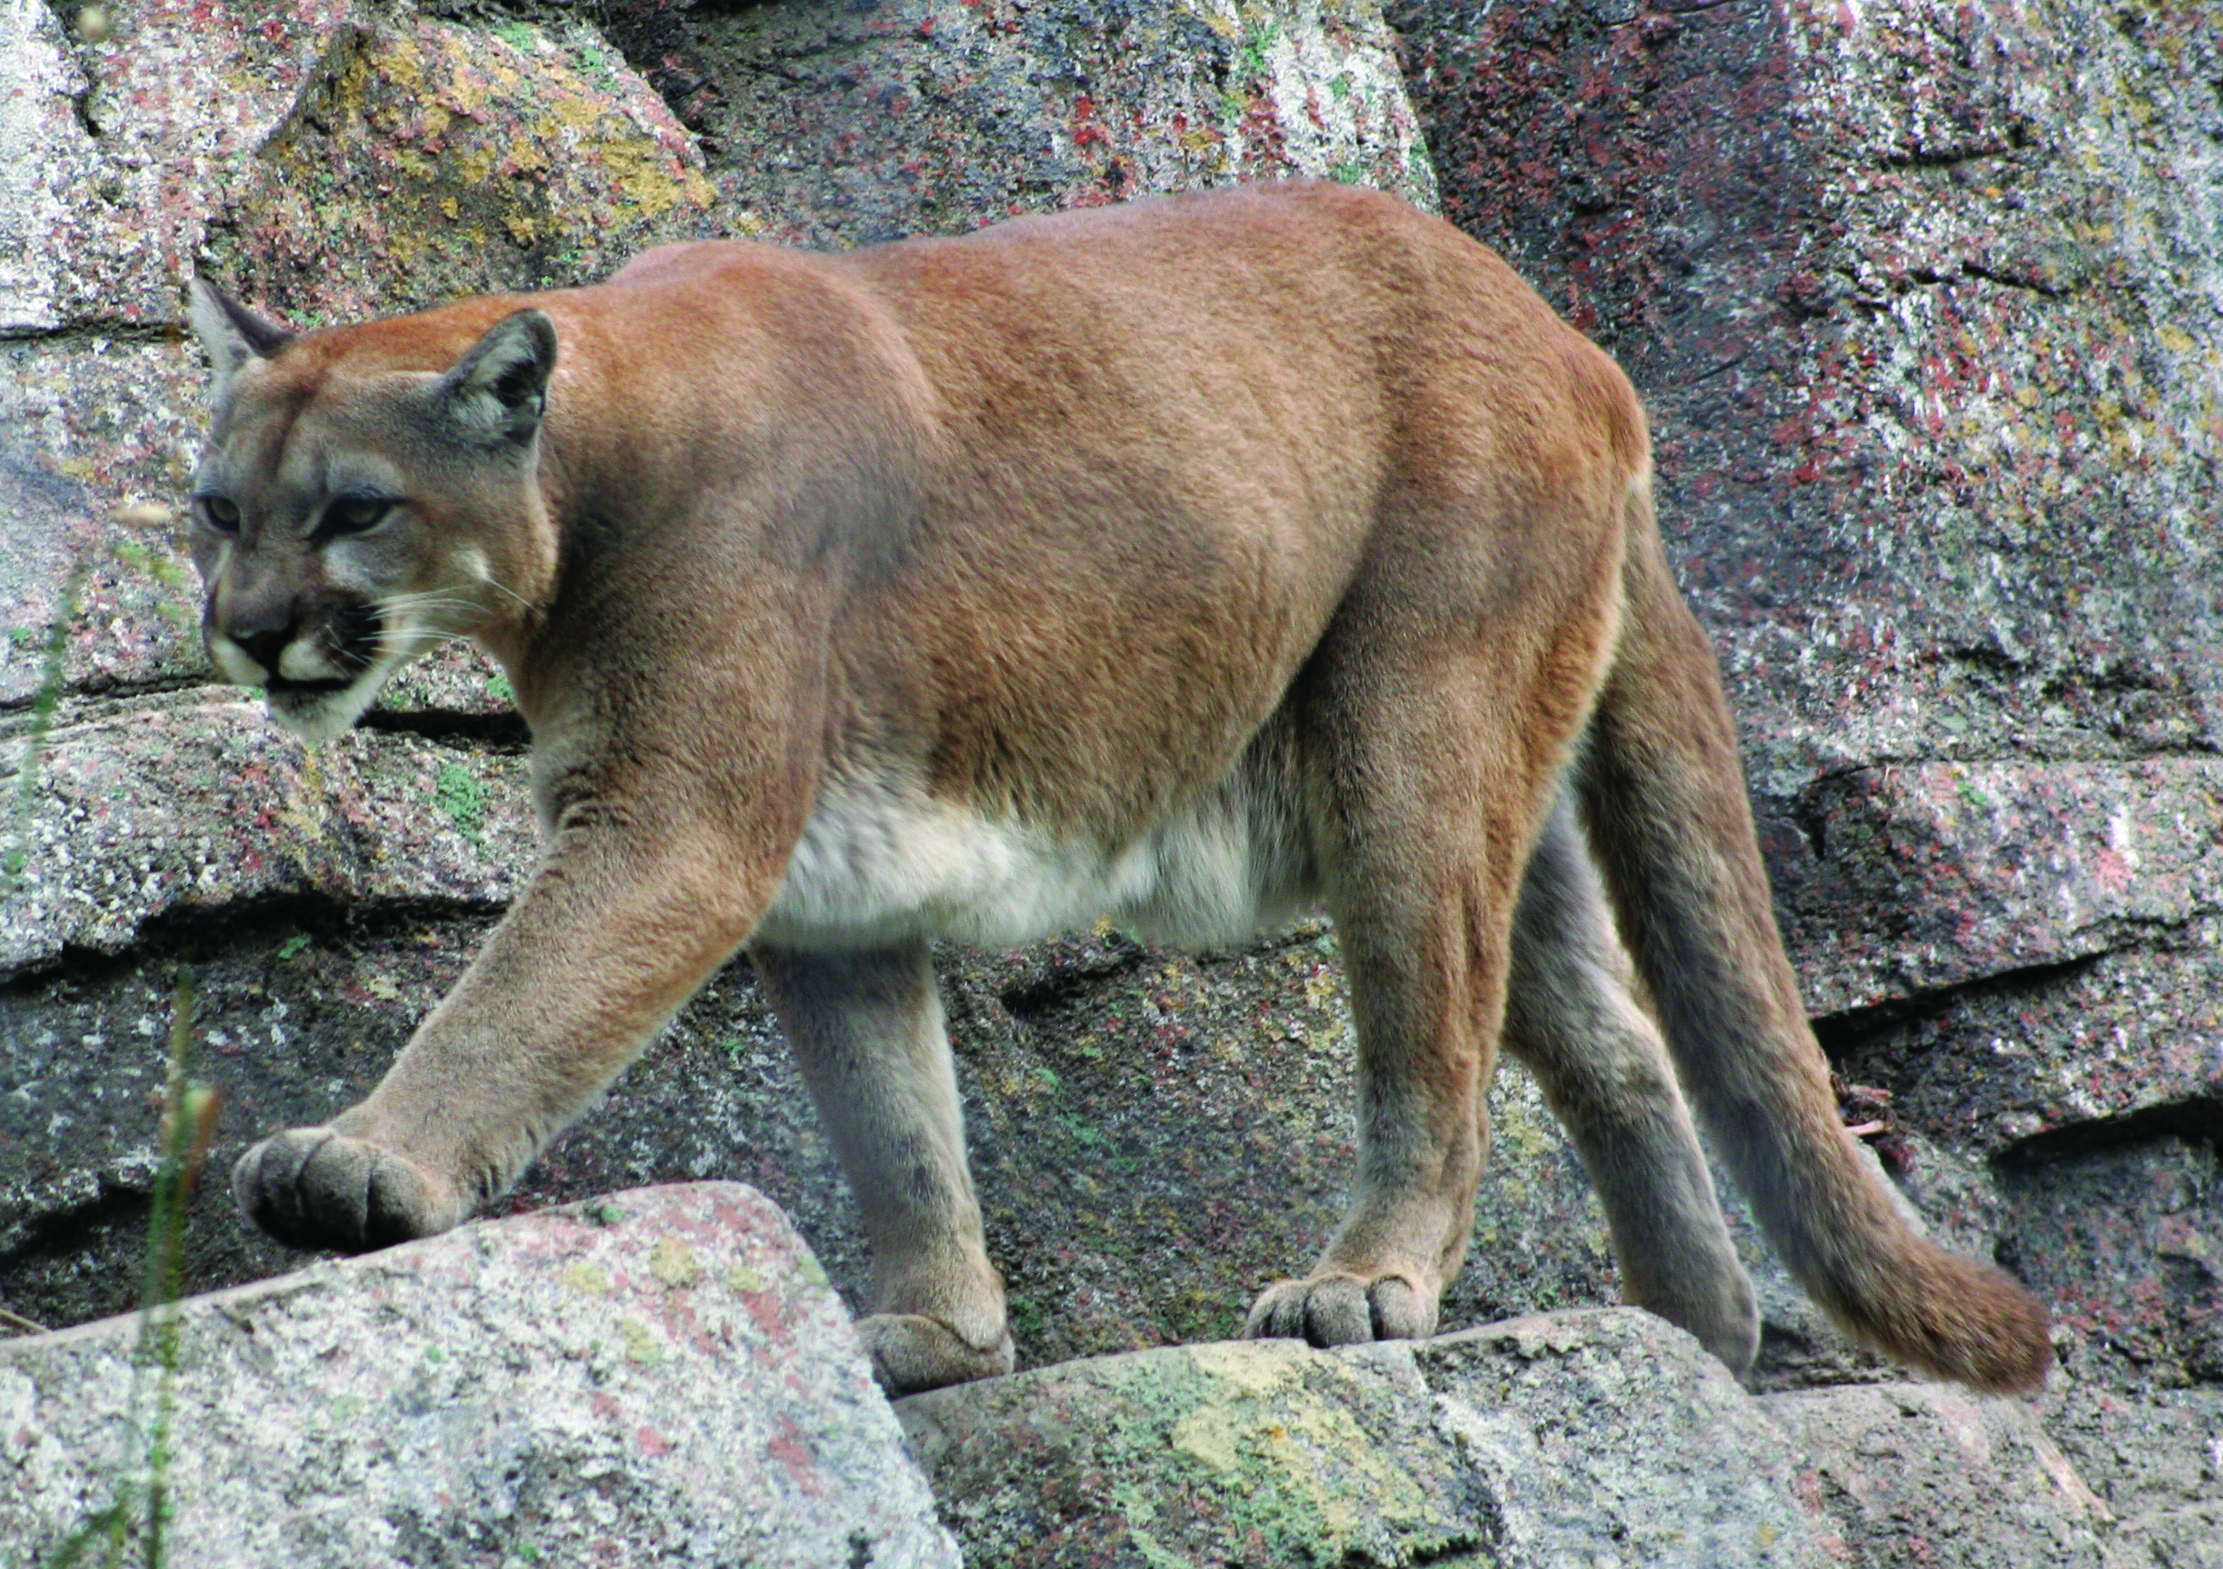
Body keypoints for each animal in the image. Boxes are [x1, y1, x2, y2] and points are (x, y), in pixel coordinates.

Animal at [186, 180, 2045, 1395]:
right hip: (1507, 774)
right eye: (216, 509)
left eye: (353, 507)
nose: (249, 627)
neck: (583, 485)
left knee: (1435, 1039)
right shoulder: (829, 887)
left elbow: (510, 1000)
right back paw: (1686, 1330)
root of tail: (1573, 341)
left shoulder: (677, 821)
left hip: (1408, 736)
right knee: (1614, 1035)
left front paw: (362, 1165)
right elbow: (893, 1118)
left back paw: (1369, 1286)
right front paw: (941, 1331)